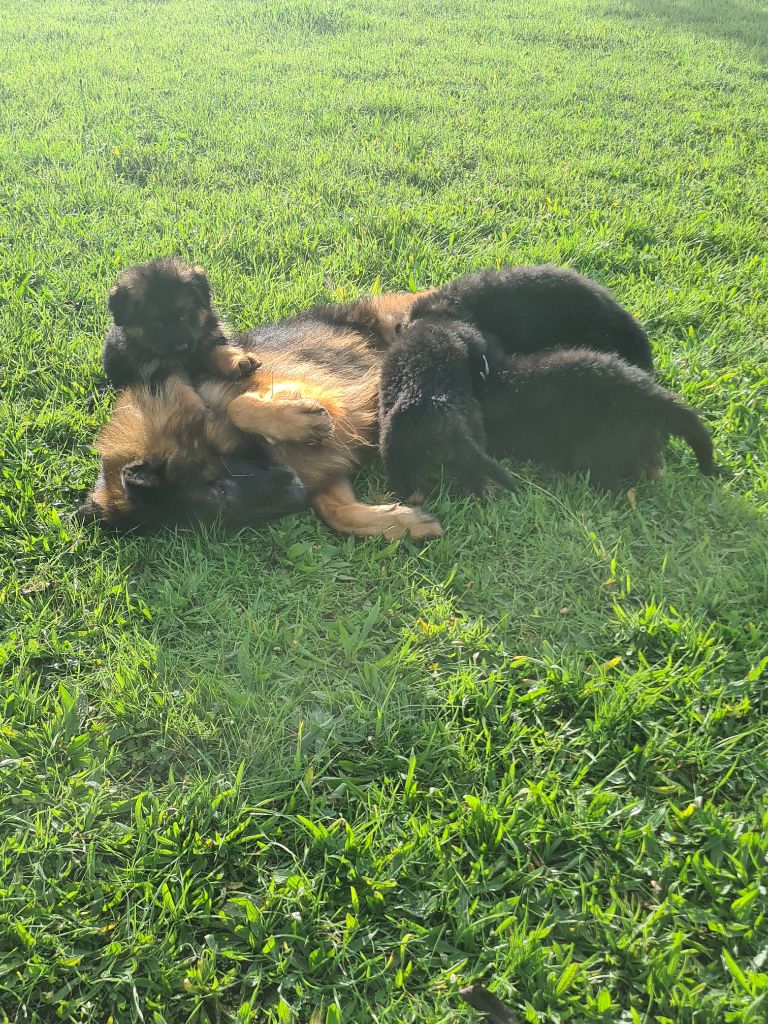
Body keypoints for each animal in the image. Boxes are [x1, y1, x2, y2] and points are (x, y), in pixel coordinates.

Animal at [102, 258, 260, 393]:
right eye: (157, 323)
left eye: (183, 314)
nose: (182, 347)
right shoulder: (159, 370)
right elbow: (179, 390)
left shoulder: (209, 338)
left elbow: (223, 350)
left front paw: (239, 361)